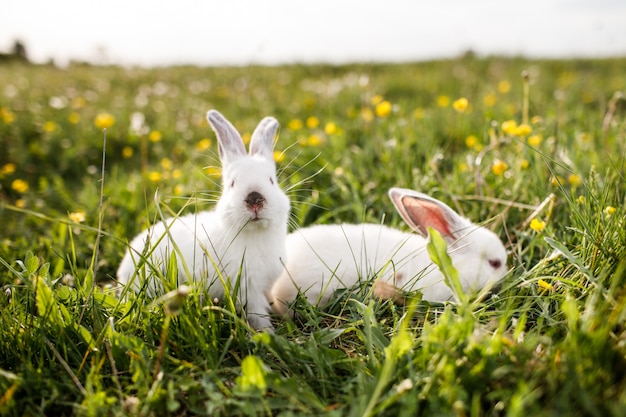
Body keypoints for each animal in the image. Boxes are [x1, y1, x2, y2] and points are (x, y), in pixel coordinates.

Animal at [117, 109, 290, 330]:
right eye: (232, 183)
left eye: (272, 180)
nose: (255, 199)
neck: (255, 234)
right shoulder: (249, 291)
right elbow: (257, 315)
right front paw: (267, 332)